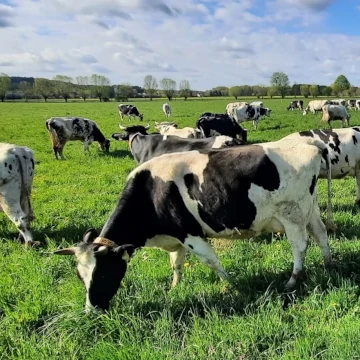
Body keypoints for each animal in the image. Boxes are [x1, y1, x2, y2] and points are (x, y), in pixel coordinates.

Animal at [52, 139, 332, 312]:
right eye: (80, 276)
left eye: (103, 273)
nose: (91, 310)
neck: (151, 192)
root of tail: (310, 143)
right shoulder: (175, 240)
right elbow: (176, 264)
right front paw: (174, 288)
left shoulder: (190, 234)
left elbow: (212, 261)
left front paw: (233, 285)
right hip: (310, 210)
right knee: (321, 234)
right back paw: (328, 264)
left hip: (292, 215)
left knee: (300, 246)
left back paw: (292, 281)